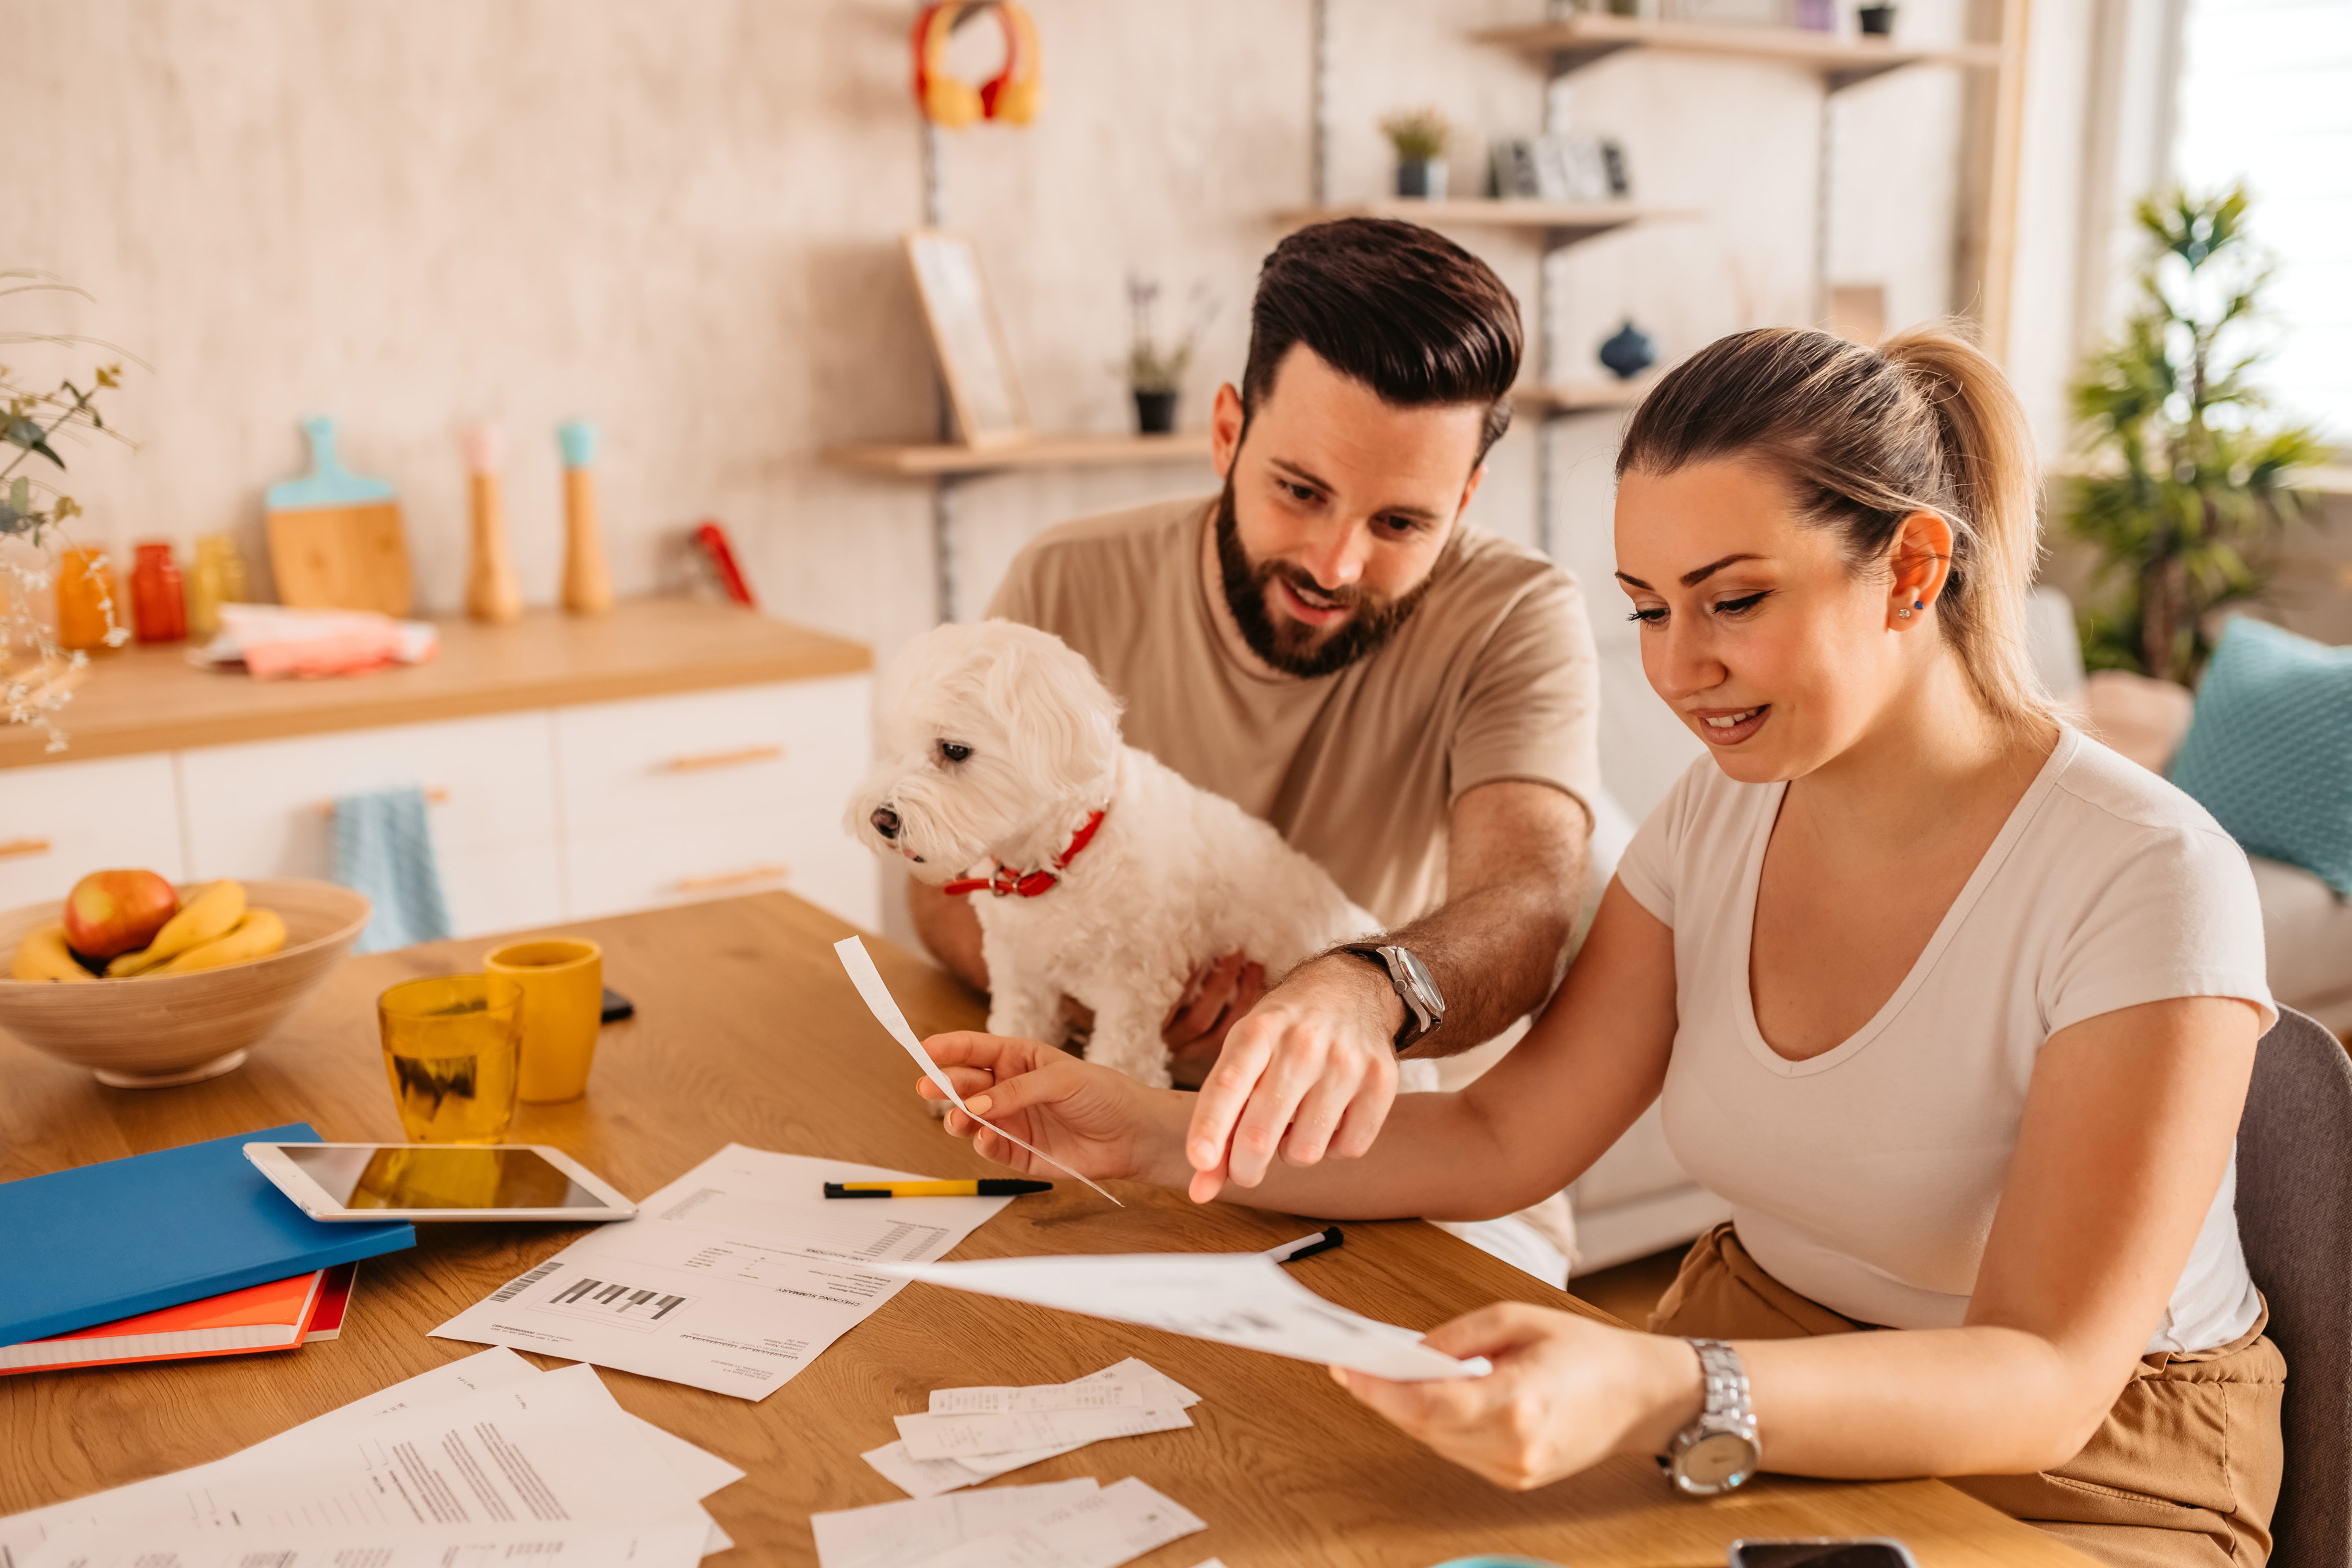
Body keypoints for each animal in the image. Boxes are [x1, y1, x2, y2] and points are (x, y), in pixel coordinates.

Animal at [856, 616, 1420, 1090]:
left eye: (954, 750)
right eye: (893, 746)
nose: (881, 819)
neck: (1059, 864)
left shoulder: (1132, 996)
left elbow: (1122, 1069)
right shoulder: (1021, 973)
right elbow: (1016, 1027)